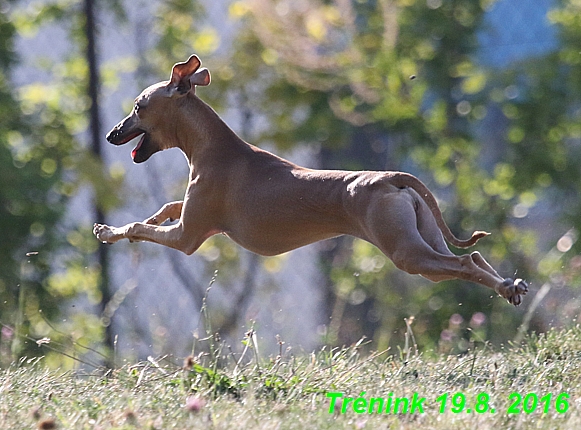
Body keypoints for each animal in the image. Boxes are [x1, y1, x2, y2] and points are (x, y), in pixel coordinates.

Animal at [93, 54, 528, 306]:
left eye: (138, 106)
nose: (111, 134)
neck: (212, 146)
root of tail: (392, 178)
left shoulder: (187, 237)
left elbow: (137, 227)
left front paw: (110, 230)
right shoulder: (192, 217)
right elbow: (167, 207)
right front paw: (149, 218)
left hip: (407, 252)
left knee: (464, 262)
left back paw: (505, 287)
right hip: (423, 245)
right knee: (471, 257)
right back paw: (509, 286)